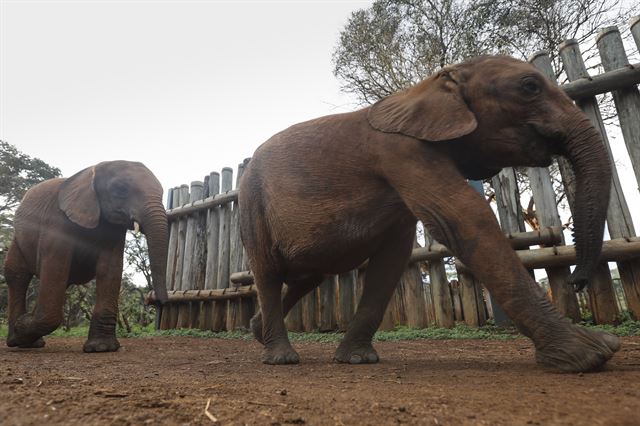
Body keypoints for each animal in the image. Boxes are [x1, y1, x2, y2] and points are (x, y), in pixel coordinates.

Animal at [3, 161, 169, 352]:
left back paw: (31, 340)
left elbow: (110, 267)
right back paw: (18, 341)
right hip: (18, 239)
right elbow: (55, 265)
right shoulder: (56, 221)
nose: (156, 302)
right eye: (121, 189)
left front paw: (101, 348)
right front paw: (21, 327)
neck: (91, 171)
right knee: (18, 276)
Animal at [240, 55, 620, 372]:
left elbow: (393, 259)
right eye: (529, 87)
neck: (433, 84)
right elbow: (463, 220)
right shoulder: (403, 152)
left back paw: (258, 331)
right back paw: (281, 359)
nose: (577, 281)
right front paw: (590, 355)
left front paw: (357, 360)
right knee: (269, 272)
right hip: (252, 204)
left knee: (307, 277)